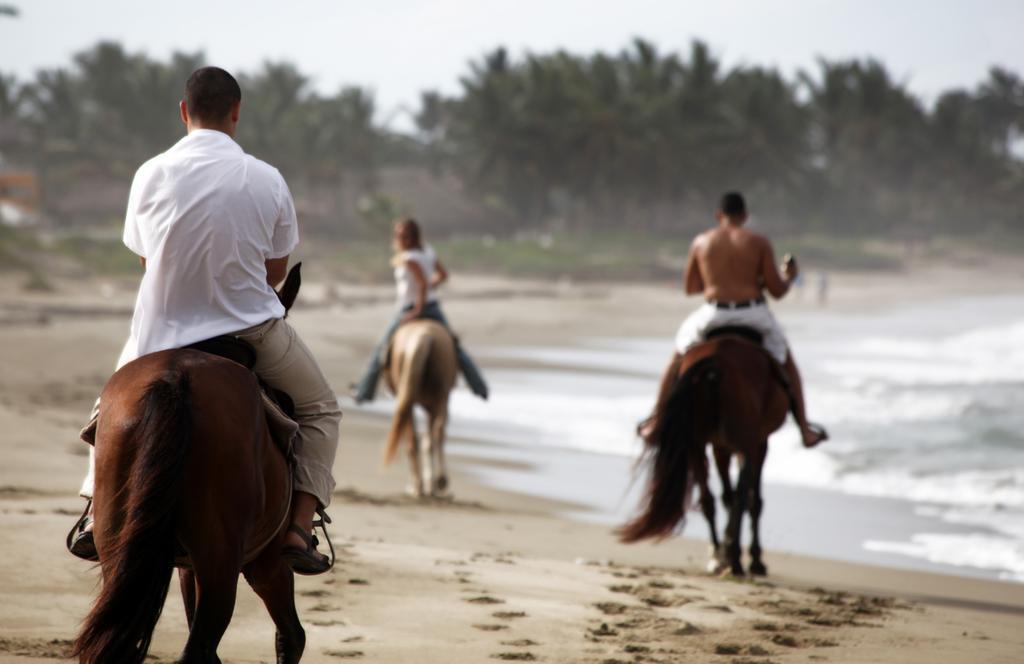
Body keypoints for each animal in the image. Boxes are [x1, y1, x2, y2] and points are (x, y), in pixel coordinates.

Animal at [74, 266, 305, 659]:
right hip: (222, 560)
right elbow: (291, 636)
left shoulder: (186, 565)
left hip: (118, 542)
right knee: (201, 647)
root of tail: (175, 378)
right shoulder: (268, 560)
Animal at [385, 317, 456, 498]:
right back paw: (437, 481)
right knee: (435, 433)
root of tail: (423, 335)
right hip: (439, 398)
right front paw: (431, 485)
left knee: (415, 440)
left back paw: (421, 486)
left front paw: (427, 485)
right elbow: (428, 440)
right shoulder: (432, 406)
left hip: (423, 400)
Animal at [614, 332, 790, 573]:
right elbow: (752, 501)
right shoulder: (758, 444)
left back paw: (719, 555)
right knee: (741, 498)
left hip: (696, 444)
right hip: (744, 443)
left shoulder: (721, 446)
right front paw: (754, 560)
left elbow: (727, 495)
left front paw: (725, 552)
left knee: (709, 500)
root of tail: (716, 358)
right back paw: (734, 560)